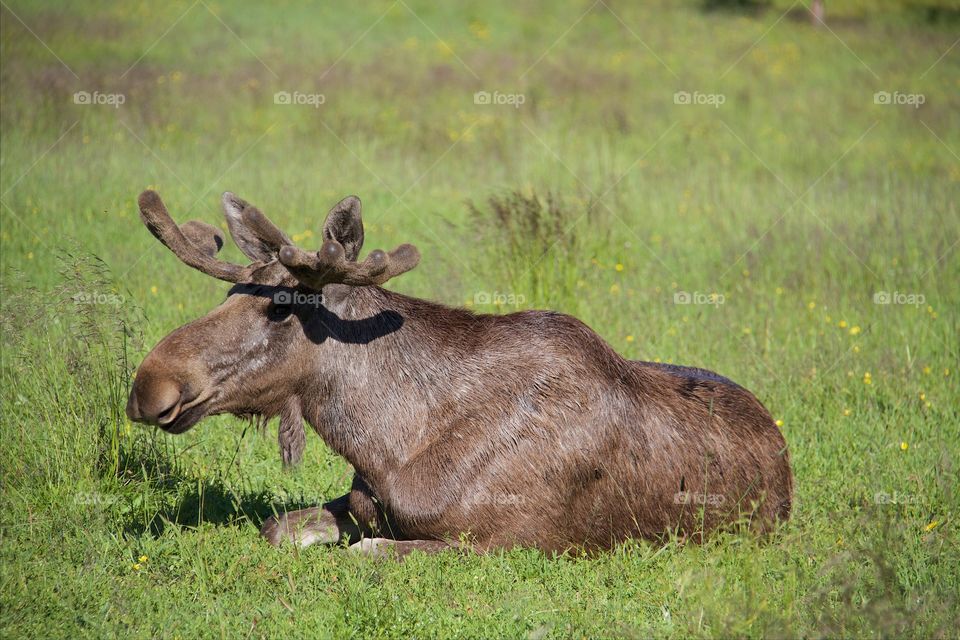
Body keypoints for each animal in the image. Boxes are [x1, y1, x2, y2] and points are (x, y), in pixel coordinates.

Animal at [125, 189, 796, 556]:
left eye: (280, 307)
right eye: (230, 292)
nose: (149, 385)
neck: (387, 444)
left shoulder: (502, 543)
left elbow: (365, 554)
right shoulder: (359, 499)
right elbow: (277, 528)